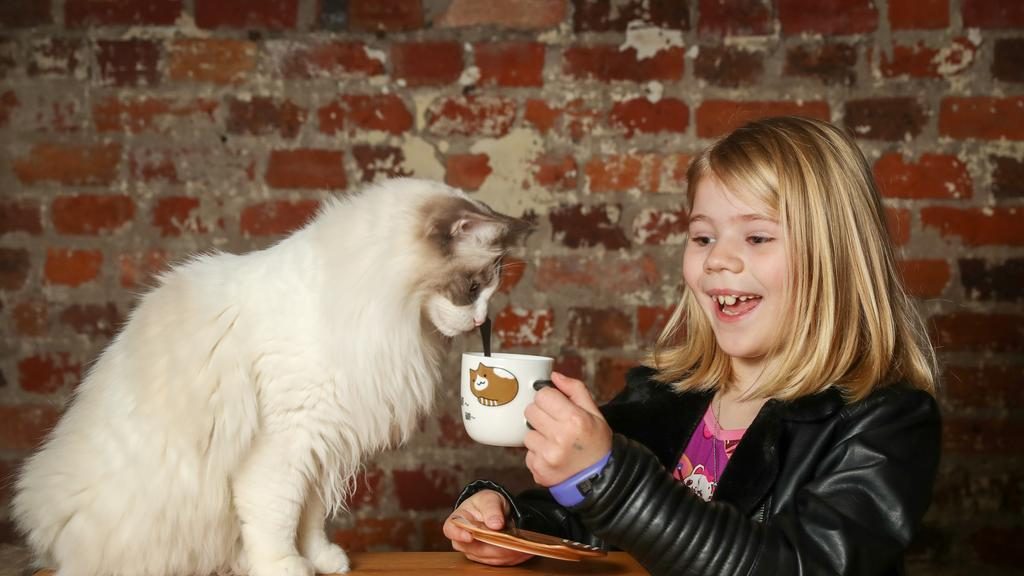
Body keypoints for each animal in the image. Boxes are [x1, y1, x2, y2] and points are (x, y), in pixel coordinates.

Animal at [12, 176, 532, 573]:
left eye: (490, 292)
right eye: (473, 288)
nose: (481, 321)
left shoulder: (324, 442)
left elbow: (310, 519)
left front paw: (323, 561)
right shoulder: (287, 443)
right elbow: (276, 519)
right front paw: (287, 568)